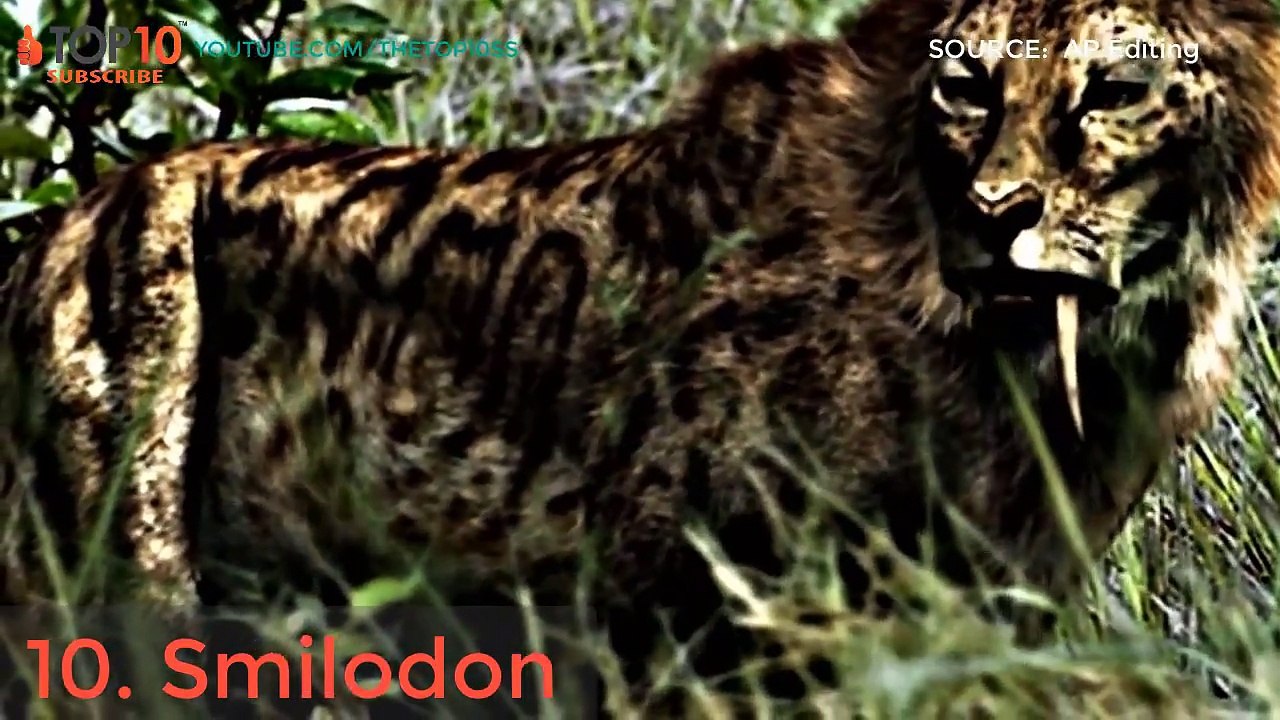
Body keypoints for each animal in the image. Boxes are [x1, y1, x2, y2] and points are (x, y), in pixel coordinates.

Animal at [3, 0, 1280, 708]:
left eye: (1113, 88)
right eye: (968, 85)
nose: (1004, 213)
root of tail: (56, 228)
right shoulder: (686, 624)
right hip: (116, 587)